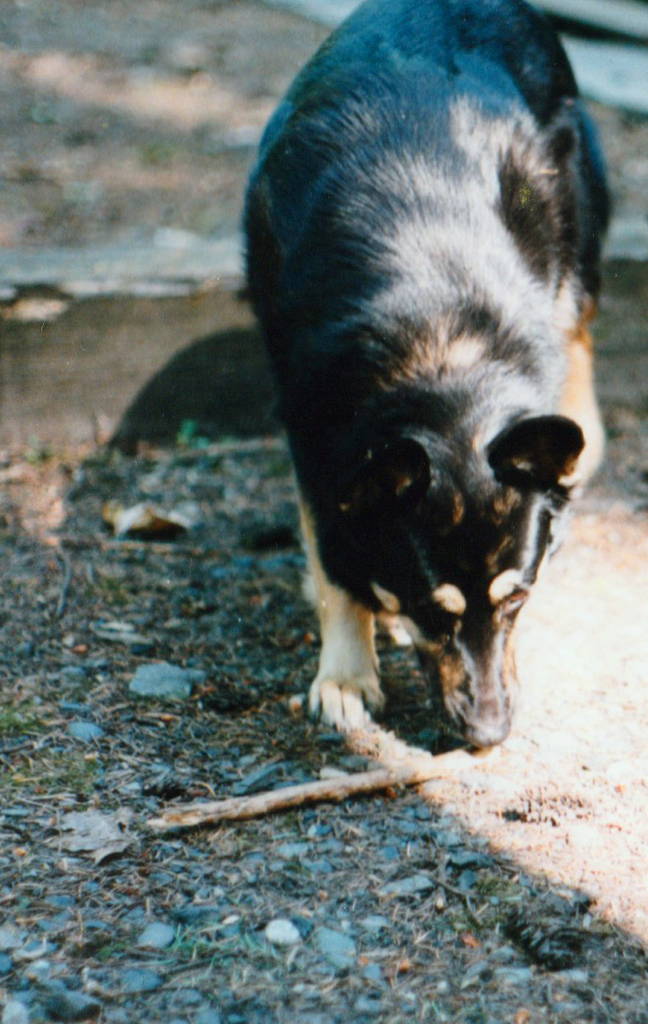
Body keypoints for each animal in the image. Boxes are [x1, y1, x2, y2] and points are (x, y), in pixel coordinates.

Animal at [244, 2, 610, 753]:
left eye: (519, 597)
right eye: (429, 611)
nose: (490, 736)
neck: (443, 353)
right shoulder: (314, 438)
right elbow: (334, 562)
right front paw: (346, 672)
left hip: (576, 221)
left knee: (581, 326)